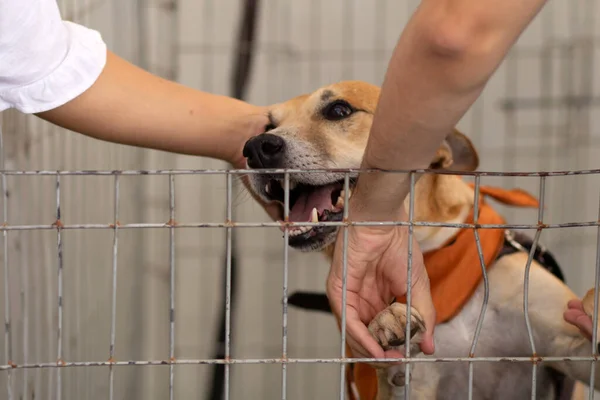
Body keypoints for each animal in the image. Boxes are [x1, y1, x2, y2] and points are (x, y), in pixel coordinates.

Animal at [243, 81, 596, 400]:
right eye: (269, 125)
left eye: (339, 110)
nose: (256, 147)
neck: (431, 258)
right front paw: (388, 322)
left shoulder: (568, 349)